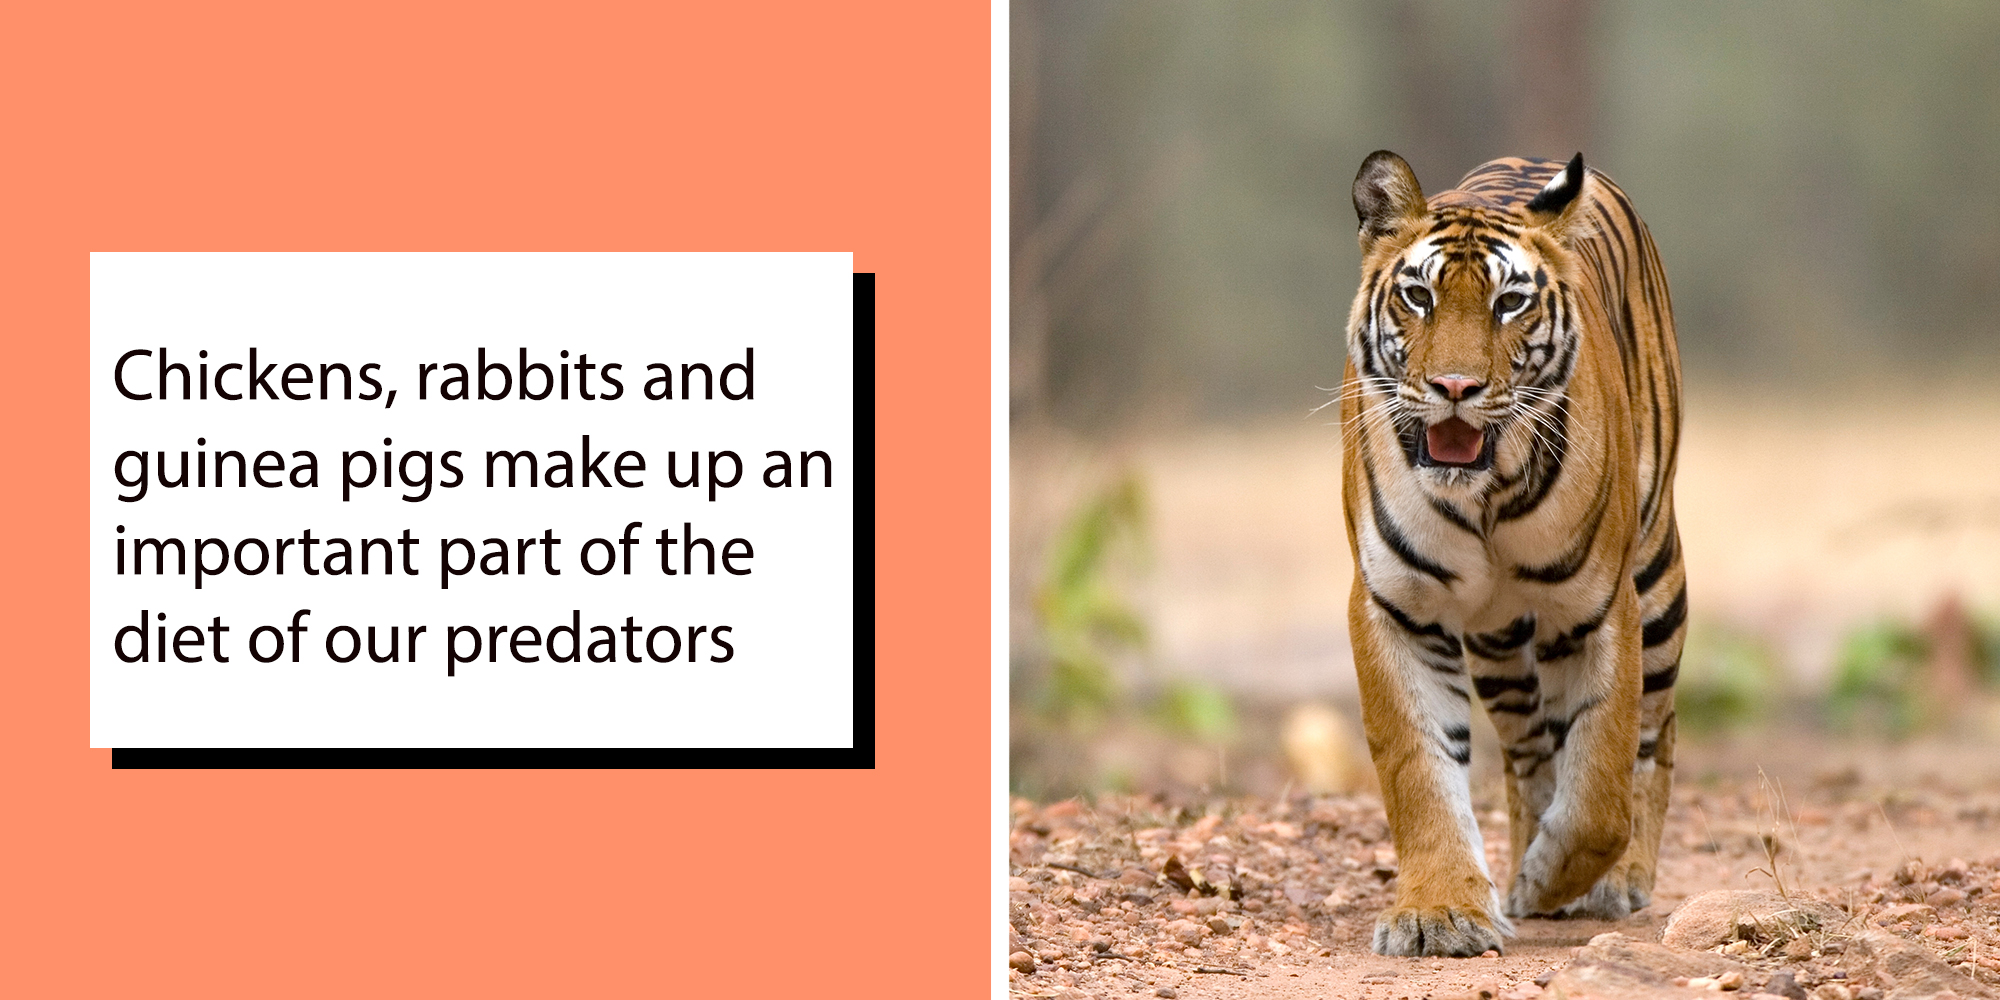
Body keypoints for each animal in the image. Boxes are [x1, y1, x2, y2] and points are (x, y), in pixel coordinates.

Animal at [1338, 151, 1686, 957]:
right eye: (1419, 296)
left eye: (1509, 303)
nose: (1455, 387)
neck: (1484, 496)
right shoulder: (1395, 607)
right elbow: (1419, 767)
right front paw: (1441, 913)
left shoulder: (1601, 608)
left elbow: (1601, 784)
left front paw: (1554, 878)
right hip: (1498, 643)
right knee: (1530, 754)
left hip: (1658, 578)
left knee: (1654, 738)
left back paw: (1618, 878)